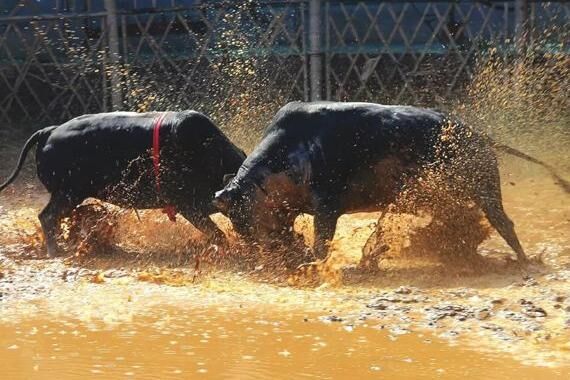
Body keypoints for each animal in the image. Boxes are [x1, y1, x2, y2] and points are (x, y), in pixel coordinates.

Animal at [0, 110, 244, 258]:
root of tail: (49, 132)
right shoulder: (187, 205)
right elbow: (217, 234)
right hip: (68, 193)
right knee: (48, 216)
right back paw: (55, 249)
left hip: (69, 196)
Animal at [214, 102, 568, 266]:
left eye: (242, 218)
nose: (260, 252)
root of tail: (481, 136)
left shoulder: (327, 205)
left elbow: (321, 241)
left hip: (486, 191)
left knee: (504, 223)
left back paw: (523, 260)